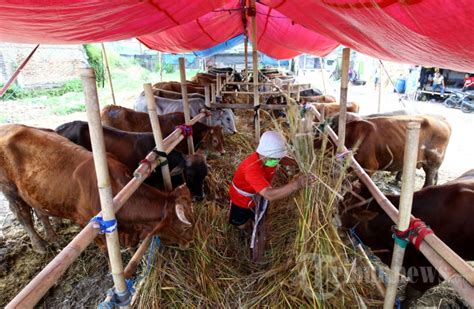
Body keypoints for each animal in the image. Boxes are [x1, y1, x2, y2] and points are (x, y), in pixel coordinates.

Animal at [0, 124, 194, 251]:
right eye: (184, 227)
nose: (190, 242)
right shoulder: (93, 228)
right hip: (10, 189)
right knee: (22, 214)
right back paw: (41, 245)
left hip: (34, 191)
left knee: (40, 212)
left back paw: (54, 238)